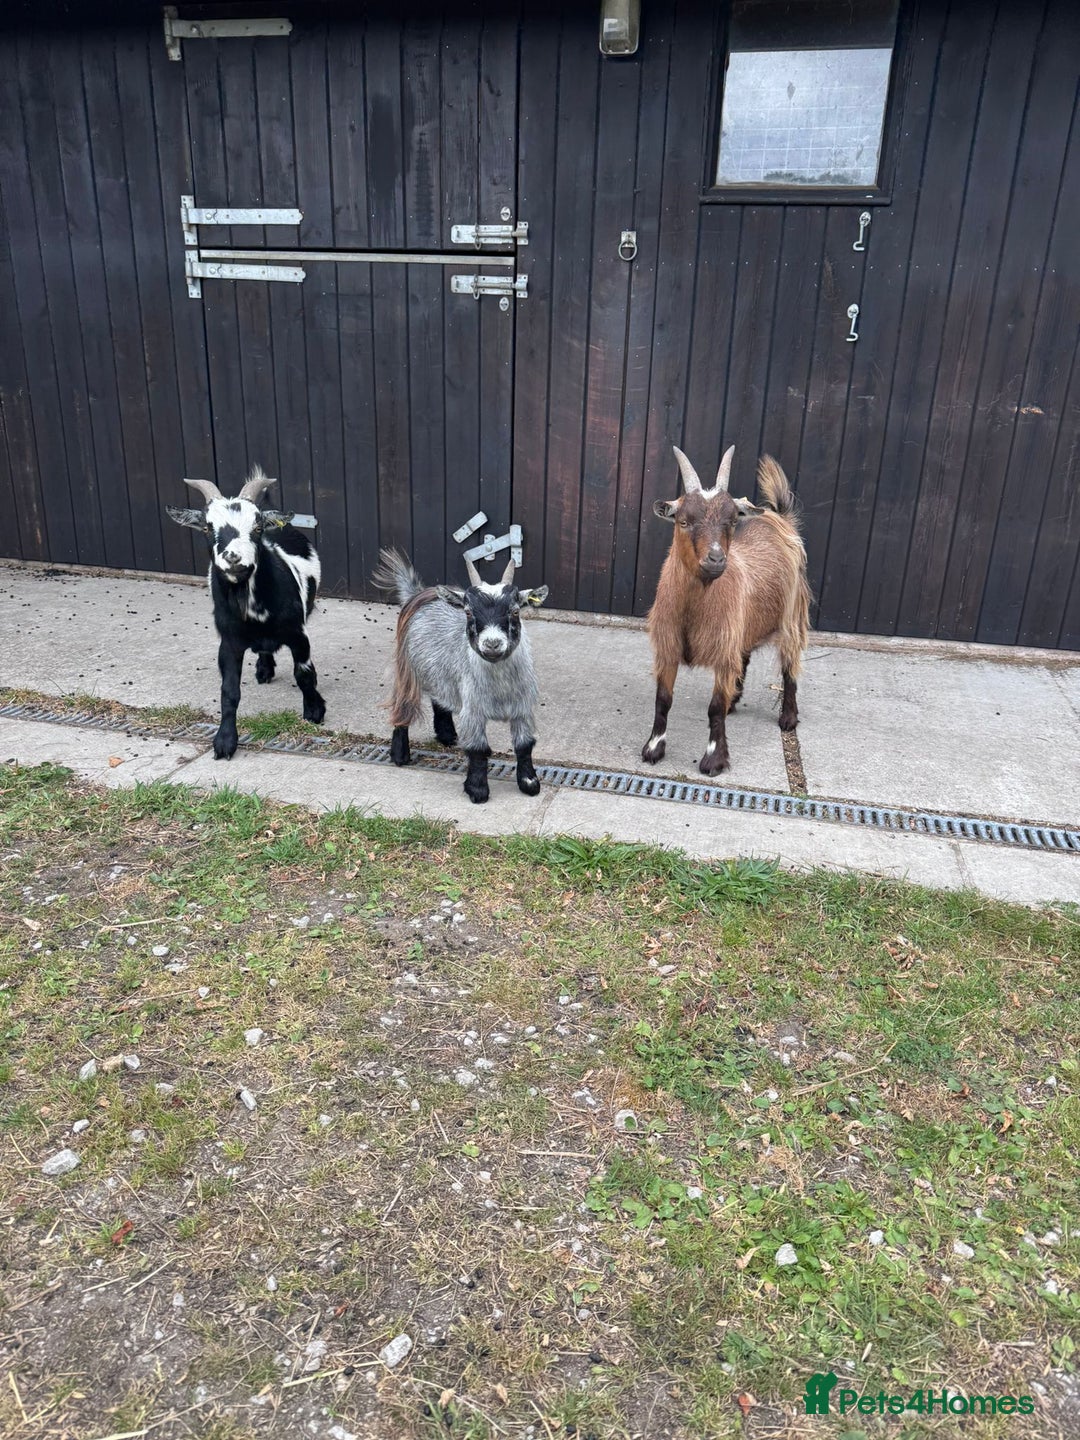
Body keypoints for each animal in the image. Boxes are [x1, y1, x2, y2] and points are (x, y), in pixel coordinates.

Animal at [166, 466, 325, 760]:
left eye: (257, 527)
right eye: (207, 527)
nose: (233, 559)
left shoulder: (298, 634)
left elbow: (304, 673)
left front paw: (314, 710)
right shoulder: (229, 642)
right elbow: (229, 691)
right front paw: (225, 741)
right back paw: (264, 668)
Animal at [373, 548, 549, 804]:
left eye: (515, 611)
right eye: (468, 612)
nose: (492, 644)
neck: (500, 687)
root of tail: (417, 594)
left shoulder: (522, 708)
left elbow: (524, 745)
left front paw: (529, 783)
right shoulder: (473, 710)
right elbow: (478, 749)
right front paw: (477, 790)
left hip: (439, 672)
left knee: (439, 696)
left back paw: (446, 735)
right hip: (406, 668)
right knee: (402, 705)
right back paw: (400, 755)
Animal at [641, 444, 810, 776]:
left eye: (731, 521)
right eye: (683, 521)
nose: (716, 559)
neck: (693, 608)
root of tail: (779, 518)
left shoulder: (722, 647)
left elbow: (714, 708)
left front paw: (714, 759)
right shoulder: (669, 645)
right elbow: (662, 699)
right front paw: (653, 748)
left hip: (791, 615)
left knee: (789, 664)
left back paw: (788, 718)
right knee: (744, 657)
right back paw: (736, 699)